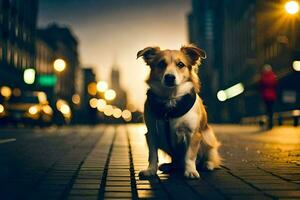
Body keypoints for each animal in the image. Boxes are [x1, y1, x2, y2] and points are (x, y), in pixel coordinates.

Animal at [137, 45, 221, 178]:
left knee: (211, 155)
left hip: (208, 137)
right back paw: (170, 166)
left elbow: (190, 156)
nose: (170, 77)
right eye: (161, 64)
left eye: (180, 64)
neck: (170, 101)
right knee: (176, 162)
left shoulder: (193, 134)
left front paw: (190, 171)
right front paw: (150, 170)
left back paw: (208, 164)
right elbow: (153, 155)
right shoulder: (151, 133)